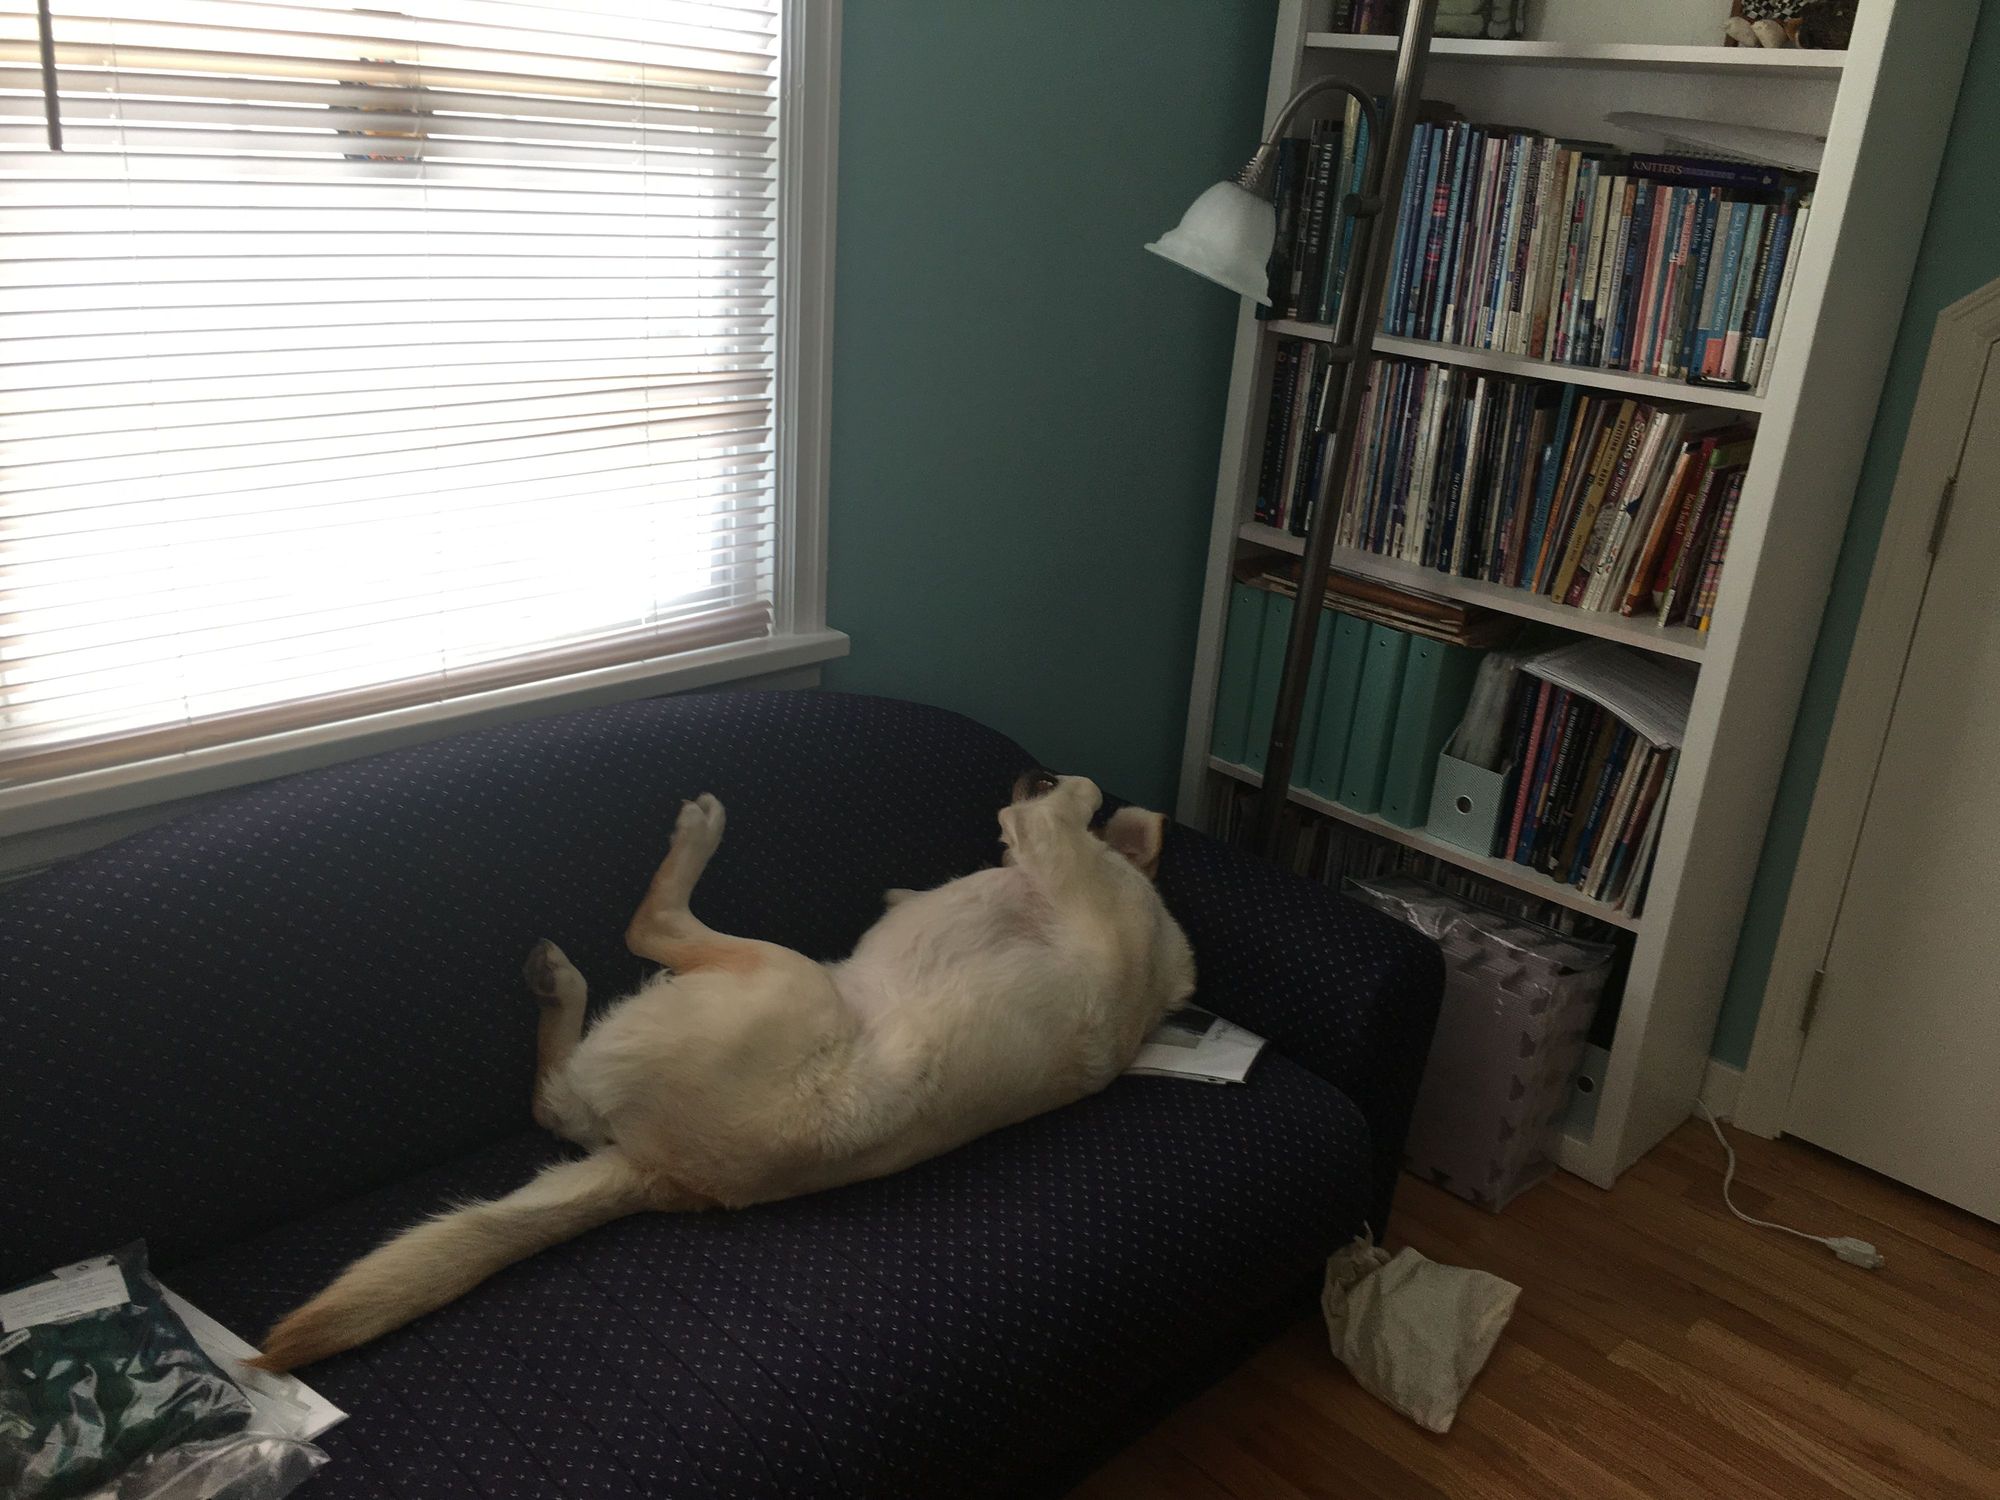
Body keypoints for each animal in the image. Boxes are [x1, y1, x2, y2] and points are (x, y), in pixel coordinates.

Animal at [249, 771, 1195, 1372]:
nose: (1028, 769)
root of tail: (667, 1172)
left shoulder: (1061, 855)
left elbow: (1071, 805)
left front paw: (1065, 790)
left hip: (781, 974)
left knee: (644, 937)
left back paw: (670, 864)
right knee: (558, 1096)